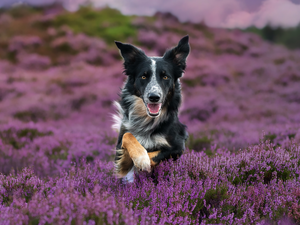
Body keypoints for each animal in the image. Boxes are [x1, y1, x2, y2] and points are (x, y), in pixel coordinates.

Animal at [112, 35, 190, 183]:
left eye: (165, 76)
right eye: (143, 76)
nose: (154, 97)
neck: (148, 119)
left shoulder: (177, 148)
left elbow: (154, 155)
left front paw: (143, 160)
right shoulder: (120, 159)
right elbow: (128, 135)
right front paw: (140, 158)